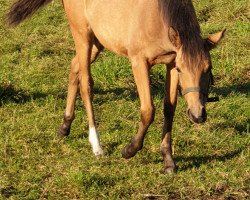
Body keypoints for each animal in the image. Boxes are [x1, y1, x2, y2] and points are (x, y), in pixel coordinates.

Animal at [6, 0, 225, 173]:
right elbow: (148, 110)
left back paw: (65, 126)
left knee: (74, 69)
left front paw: (168, 161)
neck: (157, 16)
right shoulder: (139, 62)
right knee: (86, 85)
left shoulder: (170, 61)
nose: (198, 115)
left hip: (98, 42)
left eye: (208, 68)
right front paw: (129, 150)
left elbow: (168, 109)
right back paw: (96, 145)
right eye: (182, 69)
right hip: (82, 37)